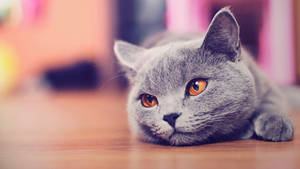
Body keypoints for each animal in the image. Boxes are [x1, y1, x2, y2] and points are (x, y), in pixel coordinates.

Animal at [113, 7, 294, 146]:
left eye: (196, 86)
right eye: (148, 100)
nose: (170, 116)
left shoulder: (266, 83)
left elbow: (272, 101)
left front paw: (276, 123)